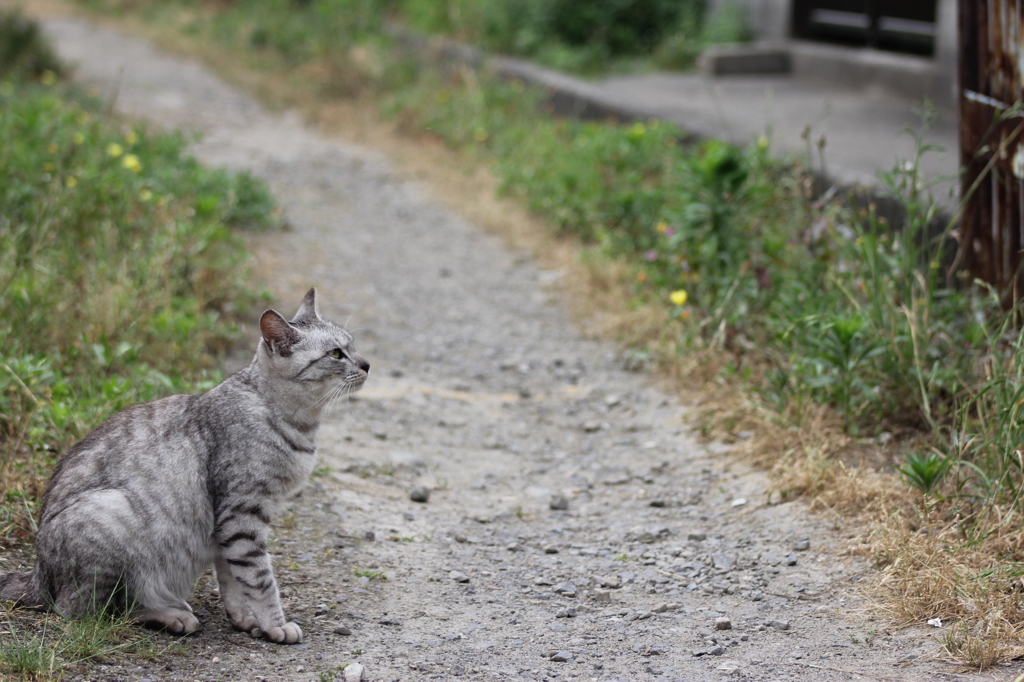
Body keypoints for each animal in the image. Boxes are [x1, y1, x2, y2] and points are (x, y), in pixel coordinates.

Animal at [0, 288, 366, 643]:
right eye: (336, 354)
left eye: (351, 345)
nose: (367, 364)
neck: (296, 421)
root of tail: (37, 574)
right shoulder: (242, 515)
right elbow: (259, 578)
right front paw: (275, 624)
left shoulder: (227, 528)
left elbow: (233, 580)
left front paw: (246, 620)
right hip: (112, 513)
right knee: (89, 611)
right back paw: (170, 615)